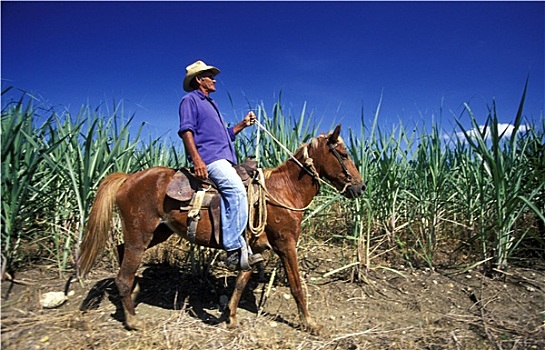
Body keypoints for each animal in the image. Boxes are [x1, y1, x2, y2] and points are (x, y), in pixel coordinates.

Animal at [76, 124, 364, 334]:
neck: (284, 191)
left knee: (120, 250)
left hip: (158, 232)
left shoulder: (253, 247)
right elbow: (296, 285)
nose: (360, 187)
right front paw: (309, 323)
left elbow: (241, 281)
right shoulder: (286, 244)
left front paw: (231, 318)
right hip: (141, 234)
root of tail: (128, 178)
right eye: (344, 155)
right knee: (123, 273)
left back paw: (134, 293)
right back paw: (133, 319)